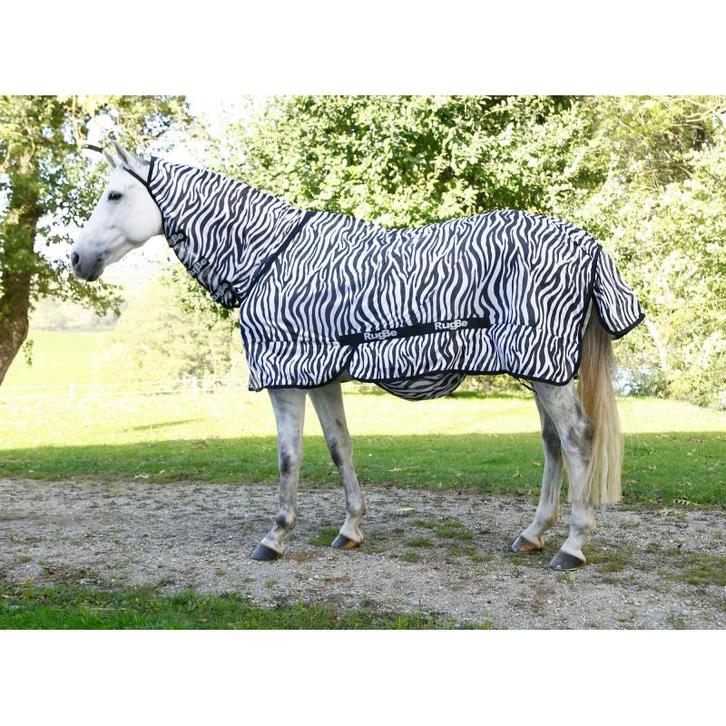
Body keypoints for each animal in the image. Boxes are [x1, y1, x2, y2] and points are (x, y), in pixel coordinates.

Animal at [71, 141, 645, 571]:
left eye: (115, 193)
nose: (77, 259)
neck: (269, 258)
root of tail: (589, 244)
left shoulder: (285, 378)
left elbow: (289, 457)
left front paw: (275, 537)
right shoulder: (320, 375)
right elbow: (339, 447)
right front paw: (350, 529)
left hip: (546, 370)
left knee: (577, 438)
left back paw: (572, 545)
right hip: (538, 367)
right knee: (552, 443)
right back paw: (533, 534)